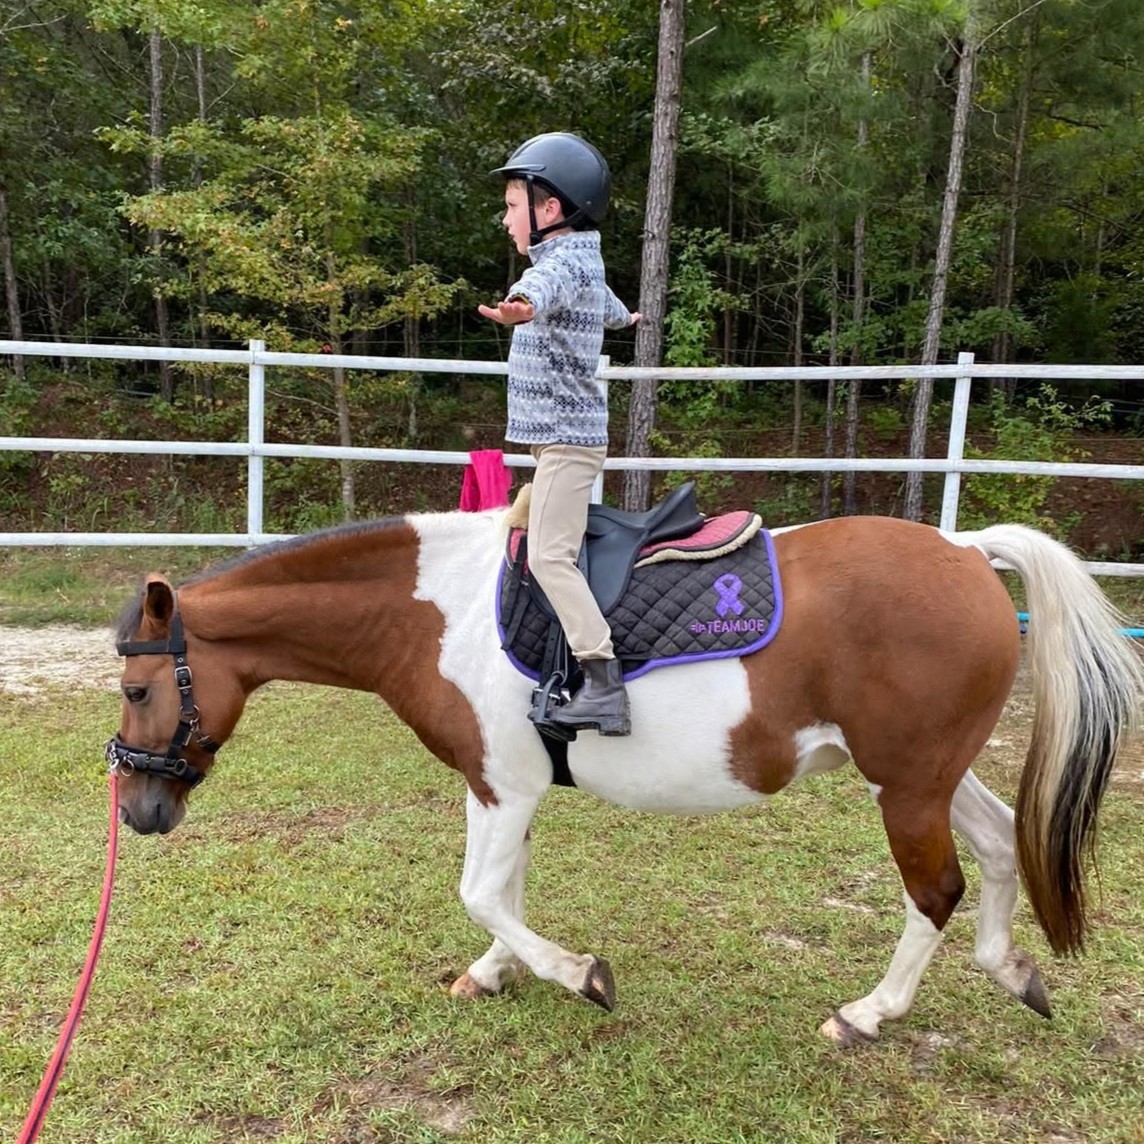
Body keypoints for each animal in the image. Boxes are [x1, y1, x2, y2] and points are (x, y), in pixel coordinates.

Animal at [107, 500, 1144, 1044]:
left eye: (136, 688)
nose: (138, 811)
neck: (438, 613)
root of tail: (967, 550)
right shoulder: (500, 785)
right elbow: (502, 892)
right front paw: (494, 974)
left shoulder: (502, 784)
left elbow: (481, 893)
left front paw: (580, 976)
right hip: (924, 777)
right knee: (999, 851)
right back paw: (1010, 970)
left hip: (907, 789)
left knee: (936, 891)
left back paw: (869, 1013)